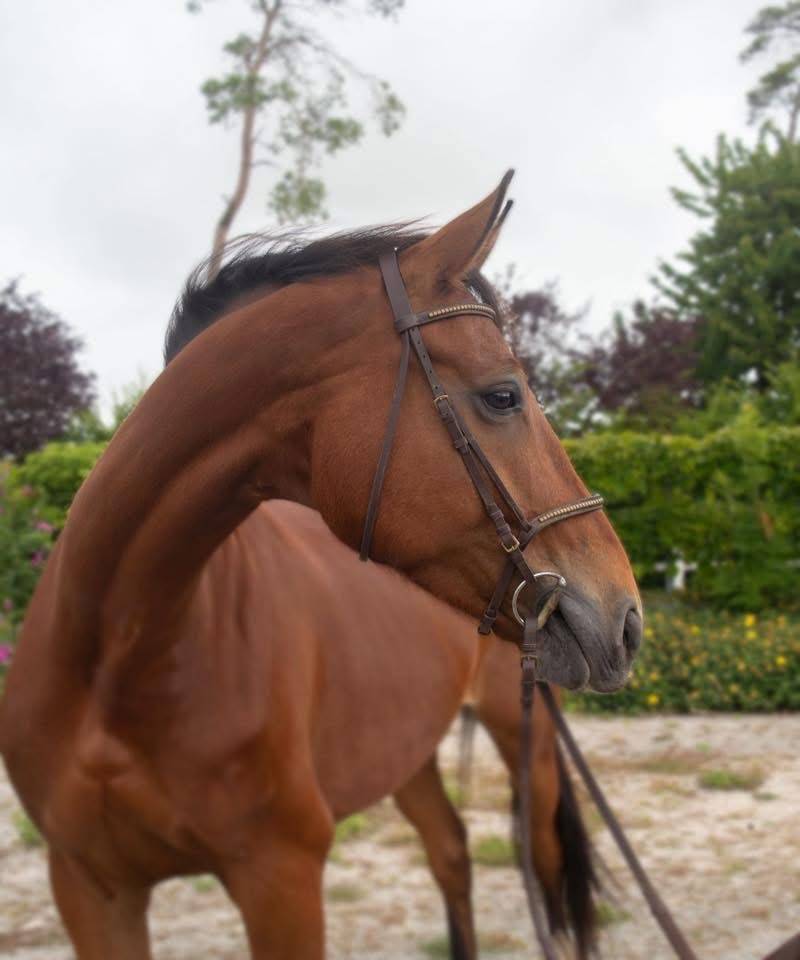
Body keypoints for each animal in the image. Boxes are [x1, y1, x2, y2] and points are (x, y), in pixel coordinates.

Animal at [0, 173, 640, 958]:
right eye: (503, 396)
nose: (625, 616)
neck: (117, 660)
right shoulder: (90, 888)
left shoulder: (282, 877)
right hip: (406, 748)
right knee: (451, 850)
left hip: (526, 740)